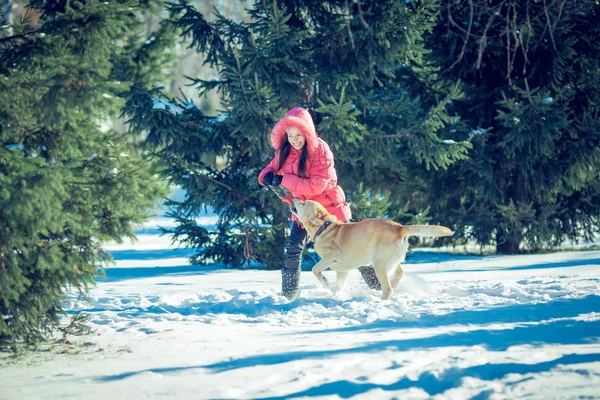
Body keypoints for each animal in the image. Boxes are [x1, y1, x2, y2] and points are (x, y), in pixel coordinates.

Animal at [292, 198, 452, 298]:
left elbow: (314, 269)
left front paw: (325, 282)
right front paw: (334, 297)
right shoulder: (342, 271)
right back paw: (392, 283)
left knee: (388, 289)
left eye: (304, 202)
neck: (323, 228)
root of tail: (400, 227)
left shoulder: (330, 257)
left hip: (379, 264)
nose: (293, 198)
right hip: (390, 261)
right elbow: (338, 287)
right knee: (399, 273)